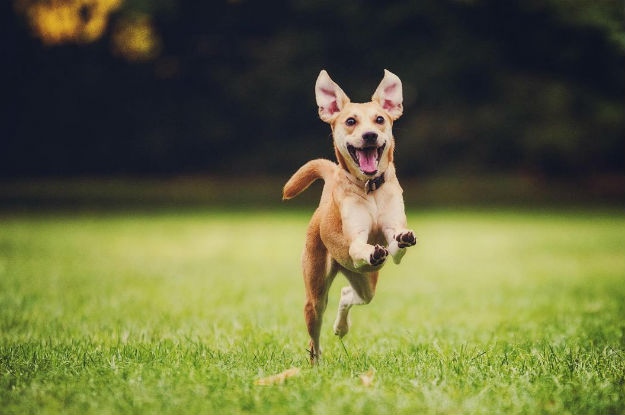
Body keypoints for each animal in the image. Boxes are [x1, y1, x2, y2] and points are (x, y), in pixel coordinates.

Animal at [282, 69, 414, 364]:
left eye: (380, 119)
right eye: (351, 121)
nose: (370, 135)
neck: (371, 189)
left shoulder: (392, 234)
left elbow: (396, 245)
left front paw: (400, 240)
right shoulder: (355, 242)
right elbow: (358, 246)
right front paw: (371, 250)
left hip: (365, 282)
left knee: (348, 295)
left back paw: (341, 327)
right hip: (316, 291)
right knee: (315, 337)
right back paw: (317, 363)